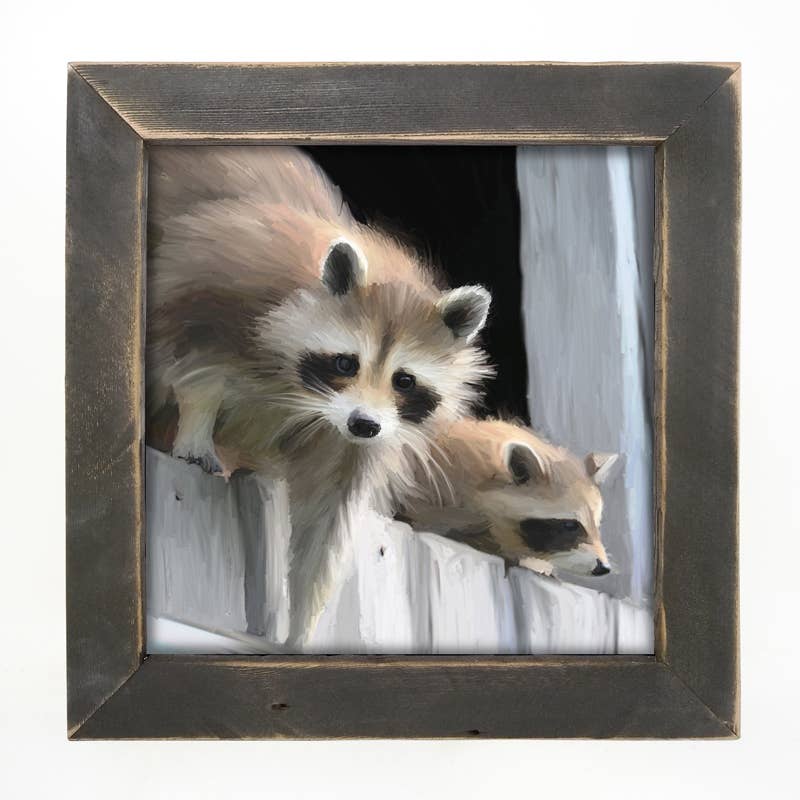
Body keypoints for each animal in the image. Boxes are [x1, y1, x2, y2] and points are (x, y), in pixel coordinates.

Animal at [146, 146, 493, 648]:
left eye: (404, 381)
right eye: (346, 364)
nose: (363, 423)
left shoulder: (353, 440)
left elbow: (326, 522)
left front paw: (302, 624)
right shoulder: (217, 279)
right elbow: (196, 363)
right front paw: (196, 423)